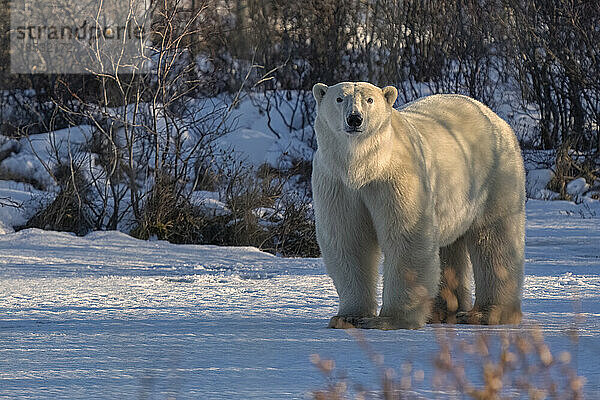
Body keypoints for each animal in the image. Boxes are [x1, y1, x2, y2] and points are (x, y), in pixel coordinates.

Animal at [312, 81, 524, 328]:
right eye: (339, 98)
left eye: (370, 100)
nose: (354, 119)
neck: (364, 166)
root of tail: (494, 116)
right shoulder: (337, 183)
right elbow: (349, 239)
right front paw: (347, 317)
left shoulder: (398, 175)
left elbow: (406, 237)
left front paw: (390, 319)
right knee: (447, 248)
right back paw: (443, 311)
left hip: (494, 175)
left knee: (495, 237)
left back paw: (486, 314)